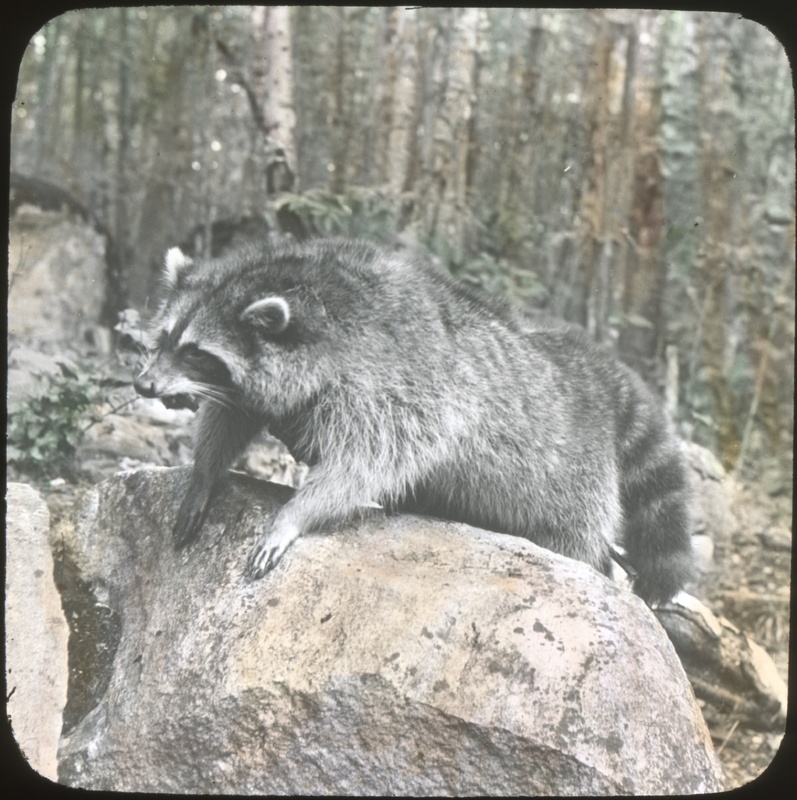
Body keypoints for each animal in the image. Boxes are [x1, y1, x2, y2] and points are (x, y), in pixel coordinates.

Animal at [134, 238, 693, 605]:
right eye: (164, 339)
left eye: (196, 352)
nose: (142, 386)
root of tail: (592, 373)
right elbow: (229, 418)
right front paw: (204, 475)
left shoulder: (392, 390)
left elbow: (361, 465)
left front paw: (295, 515)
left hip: (573, 483)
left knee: (577, 538)